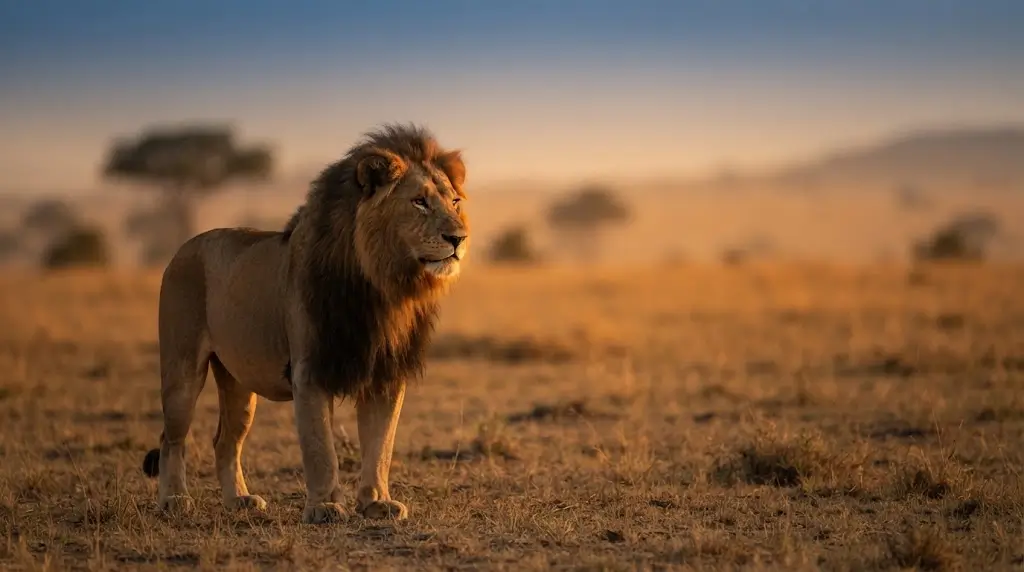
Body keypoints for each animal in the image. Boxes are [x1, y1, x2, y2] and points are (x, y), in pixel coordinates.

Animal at [140, 124, 470, 524]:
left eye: (455, 202)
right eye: (419, 201)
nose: (459, 238)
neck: (384, 287)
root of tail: (183, 247)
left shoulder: (385, 374)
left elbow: (381, 445)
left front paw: (376, 503)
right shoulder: (310, 369)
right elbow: (320, 448)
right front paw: (325, 507)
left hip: (237, 381)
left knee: (225, 440)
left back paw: (239, 500)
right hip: (182, 370)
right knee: (171, 438)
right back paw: (174, 500)